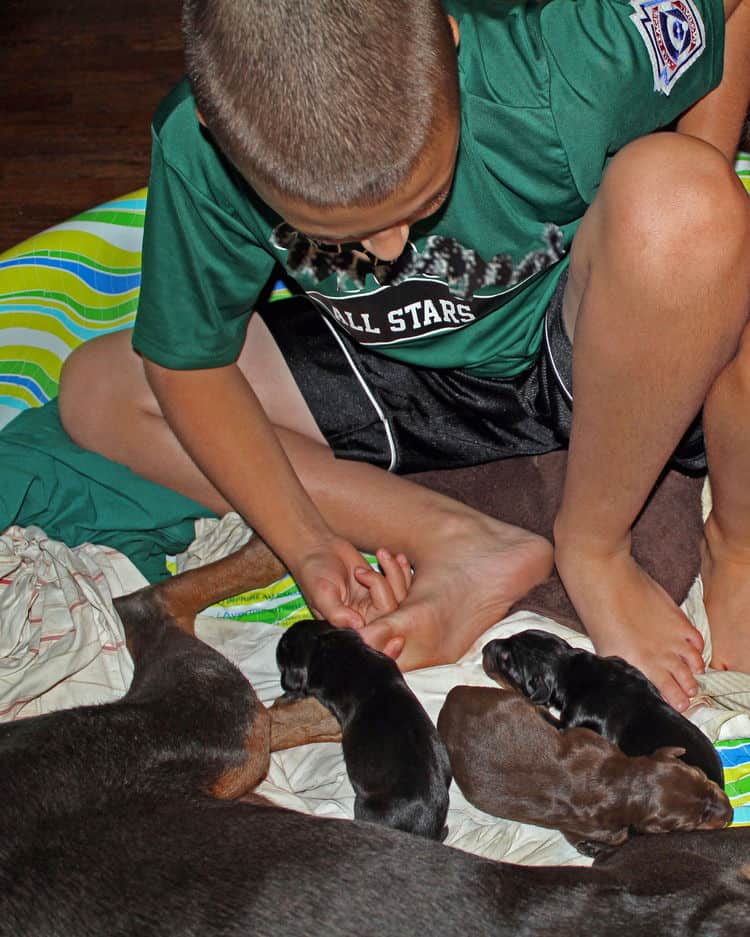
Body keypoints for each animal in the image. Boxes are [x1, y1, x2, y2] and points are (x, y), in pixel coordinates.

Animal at [438, 684, 732, 852]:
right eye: (693, 823)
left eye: (703, 778)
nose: (729, 813)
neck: (621, 781)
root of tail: (451, 697)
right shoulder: (593, 828)